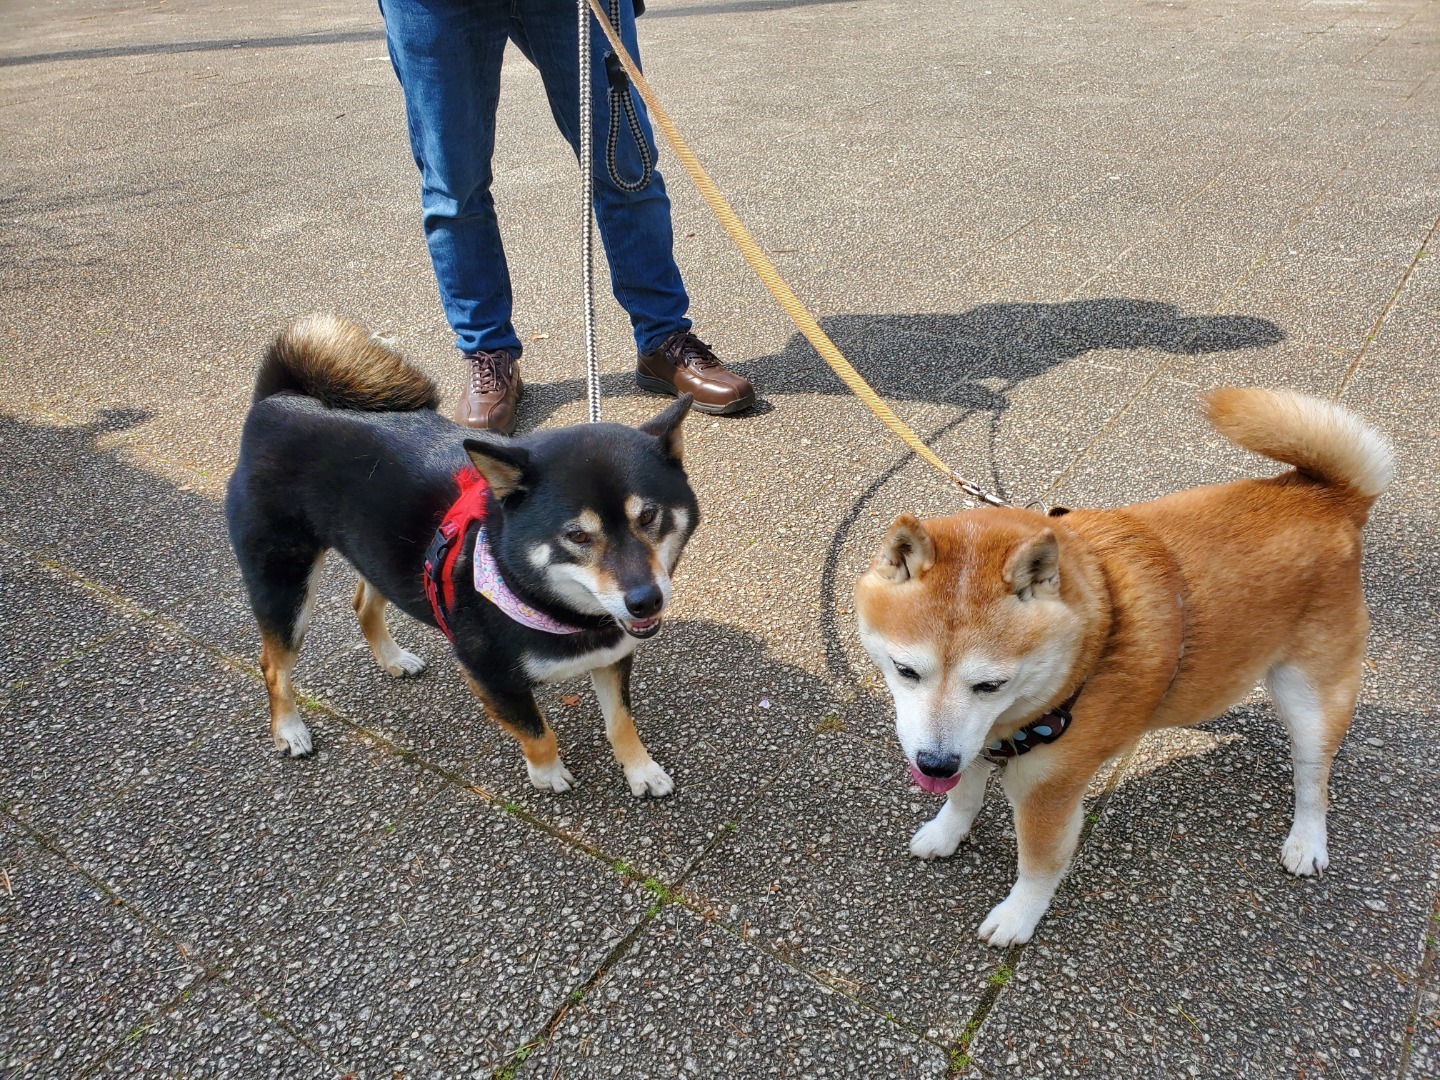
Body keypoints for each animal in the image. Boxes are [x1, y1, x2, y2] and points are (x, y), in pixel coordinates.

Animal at [224, 312, 696, 794]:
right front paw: (547, 773)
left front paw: (641, 771)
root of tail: (278, 399)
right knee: (272, 664)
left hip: (379, 556)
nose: (645, 601)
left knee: (363, 604)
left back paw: (392, 659)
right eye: (578, 536)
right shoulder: (489, 677)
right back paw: (289, 729)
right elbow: (537, 732)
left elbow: (620, 723)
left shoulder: (612, 655)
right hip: (284, 581)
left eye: (648, 516)